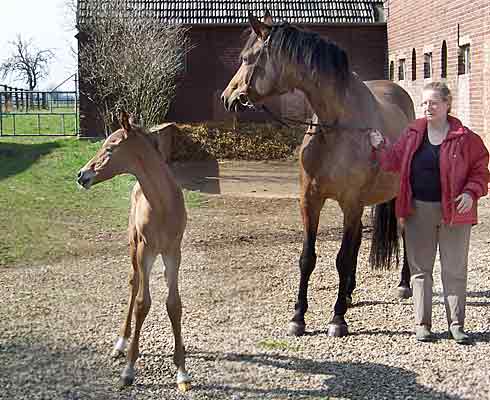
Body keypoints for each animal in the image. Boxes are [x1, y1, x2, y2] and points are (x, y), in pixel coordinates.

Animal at [223, 12, 418, 338]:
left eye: (247, 58)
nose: (228, 98)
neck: (336, 127)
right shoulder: (310, 200)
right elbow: (308, 258)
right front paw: (298, 316)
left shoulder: (350, 203)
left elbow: (341, 258)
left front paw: (337, 318)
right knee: (358, 242)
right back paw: (349, 292)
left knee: (403, 232)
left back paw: (403, 284)